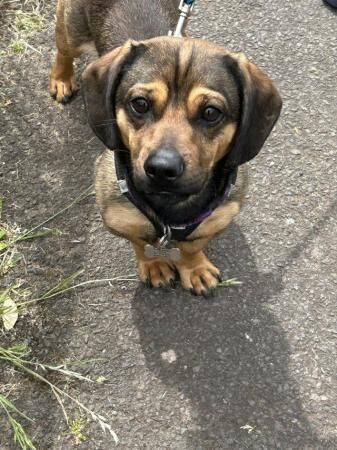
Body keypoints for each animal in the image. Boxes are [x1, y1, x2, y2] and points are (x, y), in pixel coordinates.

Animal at [50, 0, 280, 298]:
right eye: (139, 104)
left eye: (211, 112)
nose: (161, 169)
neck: (172, 207)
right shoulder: (119, 219)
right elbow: (140, 244)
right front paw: (154, 264)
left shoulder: (218, 217)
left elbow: (192, 246)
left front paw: (194, 268)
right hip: (72, 29)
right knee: (63, 49)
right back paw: (62, 79)